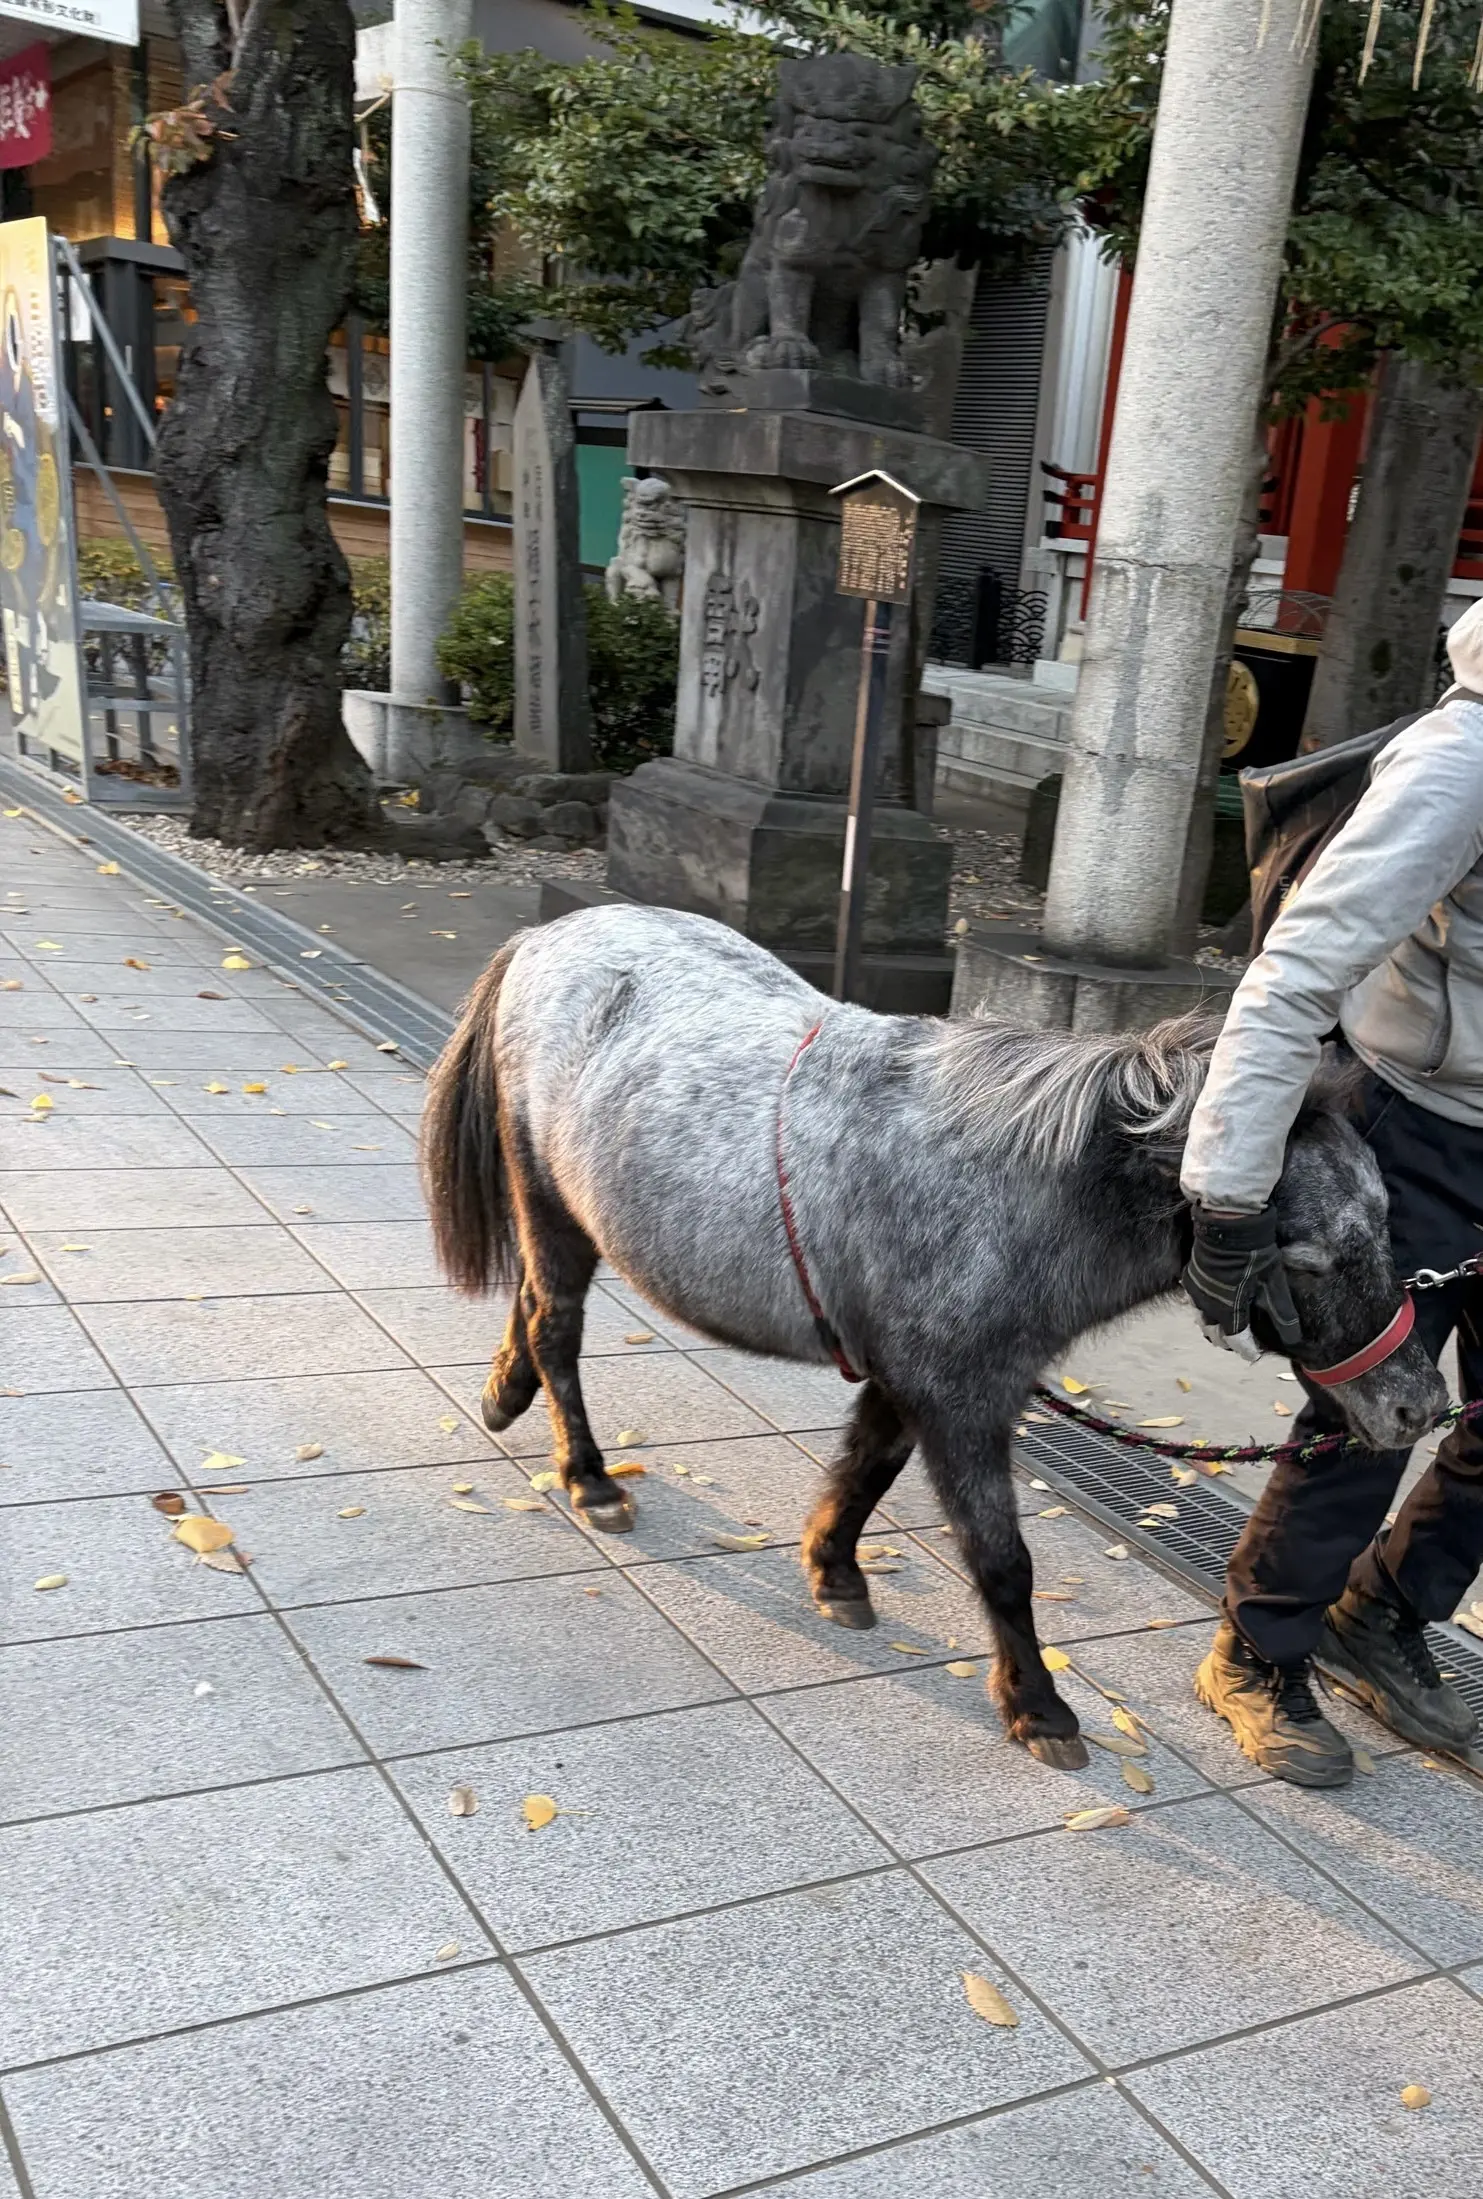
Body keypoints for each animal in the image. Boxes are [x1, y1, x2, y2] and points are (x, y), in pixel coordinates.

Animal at [420, 904, 1446, 1769]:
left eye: (1385, 1224)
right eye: (1309, 1254)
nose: (1418, 1405)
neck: (1003, 1189)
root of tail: (545, 937)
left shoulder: (915, 1380)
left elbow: (866, 1468)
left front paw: (834, 1571)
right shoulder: (960, 1400)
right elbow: (1002, 1560)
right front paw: (1037, 1707)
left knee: (534, 1308)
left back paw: (505, 1394)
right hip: (546, 1197)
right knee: (555, 1326)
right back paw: (588, 1477)